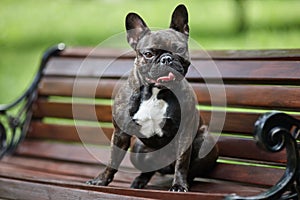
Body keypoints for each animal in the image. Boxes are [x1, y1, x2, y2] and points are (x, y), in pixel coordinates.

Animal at [86, 4, 218, 192]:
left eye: (179, 50)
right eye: (148, 54)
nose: (167, 58)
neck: (156, 93)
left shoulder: (185, 133)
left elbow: (182, 162)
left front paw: (179, 185)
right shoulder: (120, 133)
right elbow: (113, 160)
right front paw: (101, 180)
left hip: (205, 142)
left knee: (190, 169)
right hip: (137, 149)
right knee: (149, 170)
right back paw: (139, 181)